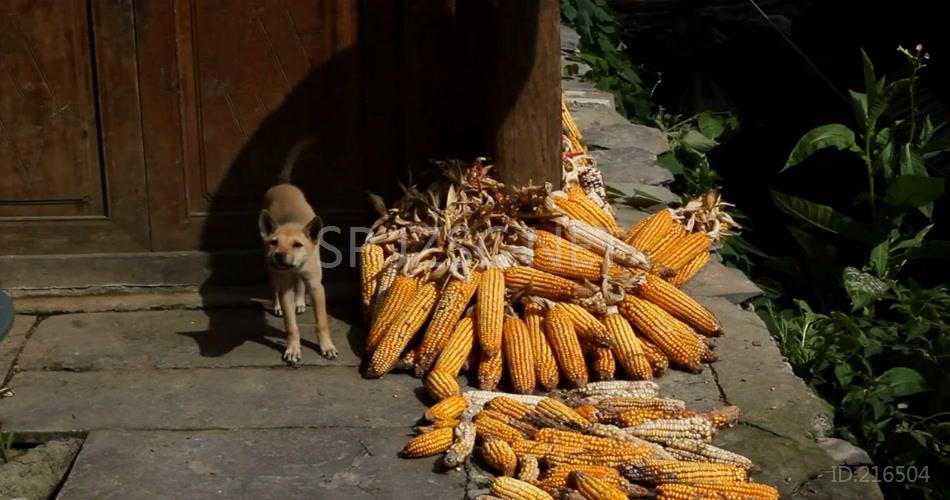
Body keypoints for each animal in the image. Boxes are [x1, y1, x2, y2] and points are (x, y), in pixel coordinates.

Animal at [258, 142, 336, 364]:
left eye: (297, 244)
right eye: (274, 242)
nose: (278, 256)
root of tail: (283, 184)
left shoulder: (317, 287)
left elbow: (321, 322)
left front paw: (327, 346)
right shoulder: (285, 288)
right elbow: (290, 325)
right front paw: (293, 349)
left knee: (300, 284)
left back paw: (300, 302)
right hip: (270, 269)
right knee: (274, 285)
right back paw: (277, 304)